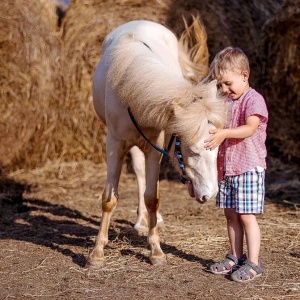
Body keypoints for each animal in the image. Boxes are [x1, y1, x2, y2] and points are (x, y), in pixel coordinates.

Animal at [86, 17, 227, 268]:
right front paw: (97, 253)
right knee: (139, 172)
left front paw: (156, 251)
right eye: (193, 151)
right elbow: (109, 199)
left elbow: (153, 197)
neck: (129, 88)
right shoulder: (114, 145)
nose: (209, 194)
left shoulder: (155, 148)